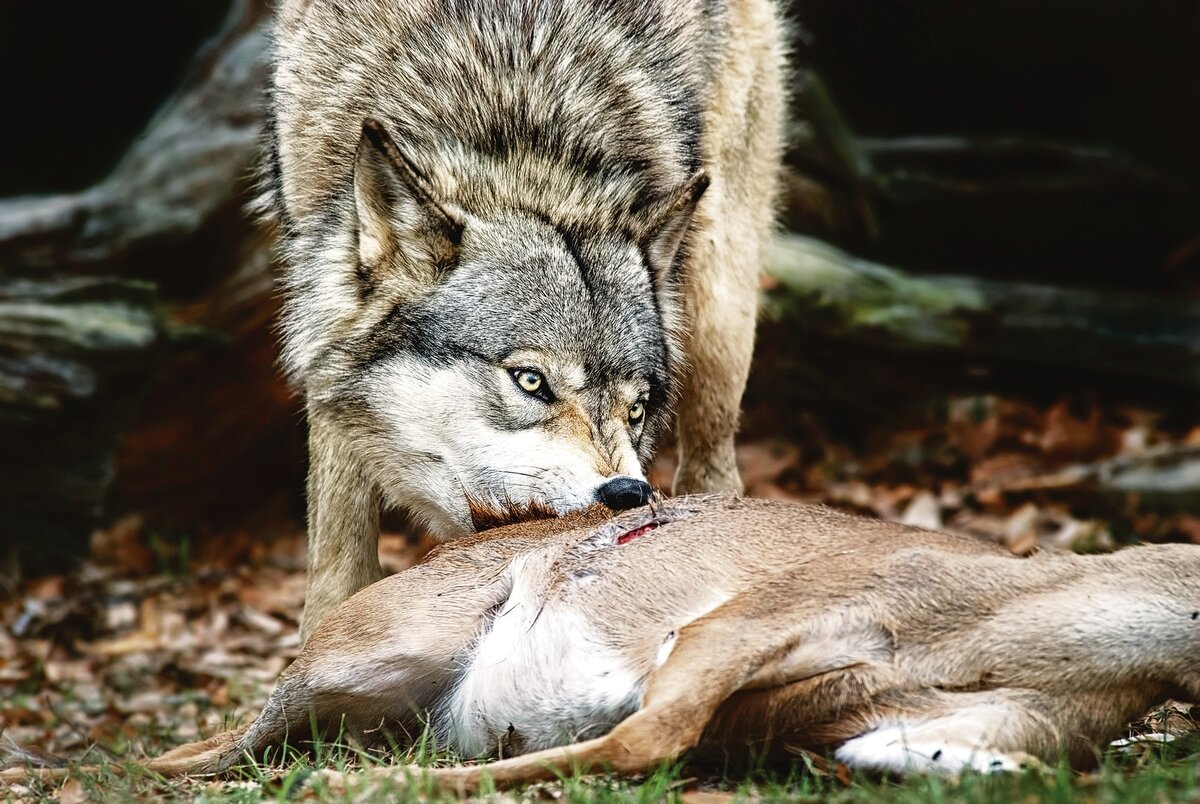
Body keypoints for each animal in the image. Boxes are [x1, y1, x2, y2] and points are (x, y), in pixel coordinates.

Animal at [262, 1, 787, 643]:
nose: (628, 492)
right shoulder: (327, 357)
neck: (512, 127)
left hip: (719, 295)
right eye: (531, 381)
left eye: (636, 410)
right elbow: (337, 570)